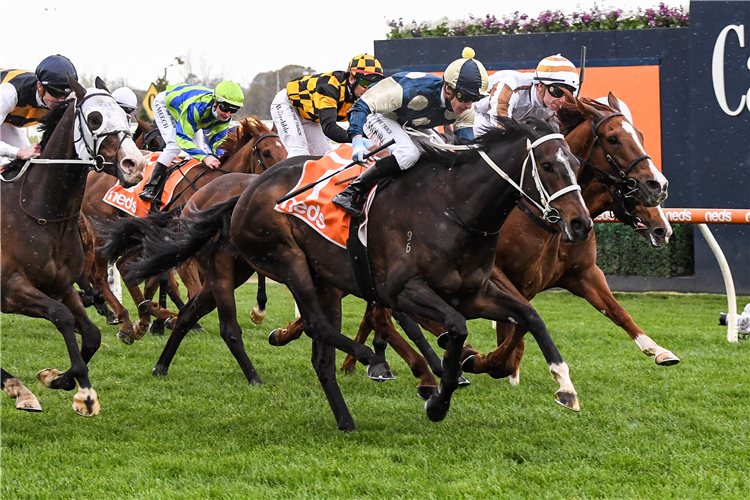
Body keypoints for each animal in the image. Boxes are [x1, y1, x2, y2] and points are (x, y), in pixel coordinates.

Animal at [0, 77, 145, 414]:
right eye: (94, 119)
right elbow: (62, 317)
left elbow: (91, 333)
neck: (40, 212)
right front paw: (85, 392)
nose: (135, 164)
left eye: (125, 115)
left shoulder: (62, 286)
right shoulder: (10, 290)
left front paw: (58, 379)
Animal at [79, 117, 284, 344]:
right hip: (100, 234)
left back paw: (143, 318)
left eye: (283, 148)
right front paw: (173, 320)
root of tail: (93, 175)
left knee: (125, 267)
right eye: (266, 152)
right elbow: (189, 289)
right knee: (100, 276)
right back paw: (127, 319)